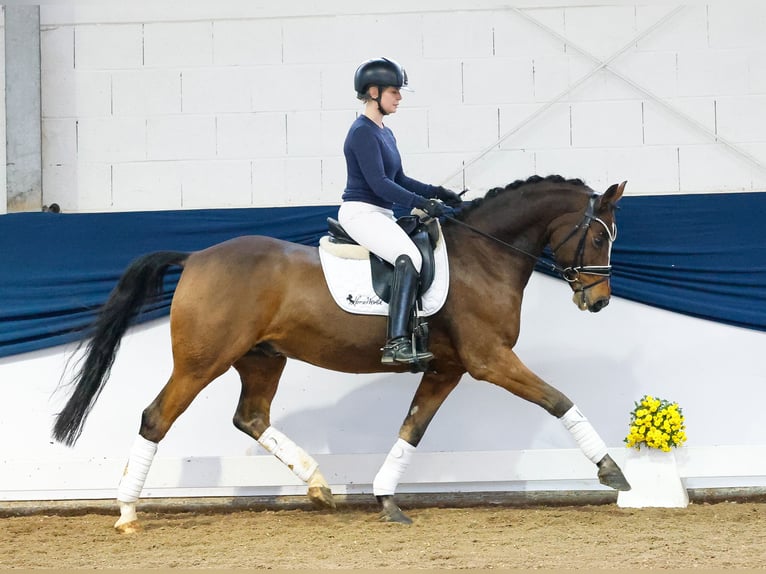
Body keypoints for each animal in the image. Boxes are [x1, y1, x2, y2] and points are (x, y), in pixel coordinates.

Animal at [52, 176, 632, 536]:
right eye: (599, 238)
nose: (599, 301)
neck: (483, 257)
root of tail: (195, 256)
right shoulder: (489, 360)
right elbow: (558, 400)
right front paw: (613, 472)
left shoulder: (448, 368)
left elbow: (411, 429)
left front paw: (385, 500)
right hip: (201, 362)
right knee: (156, 418)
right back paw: (127, 513)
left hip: (262, 357)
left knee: (251, 417)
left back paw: (318, 485)